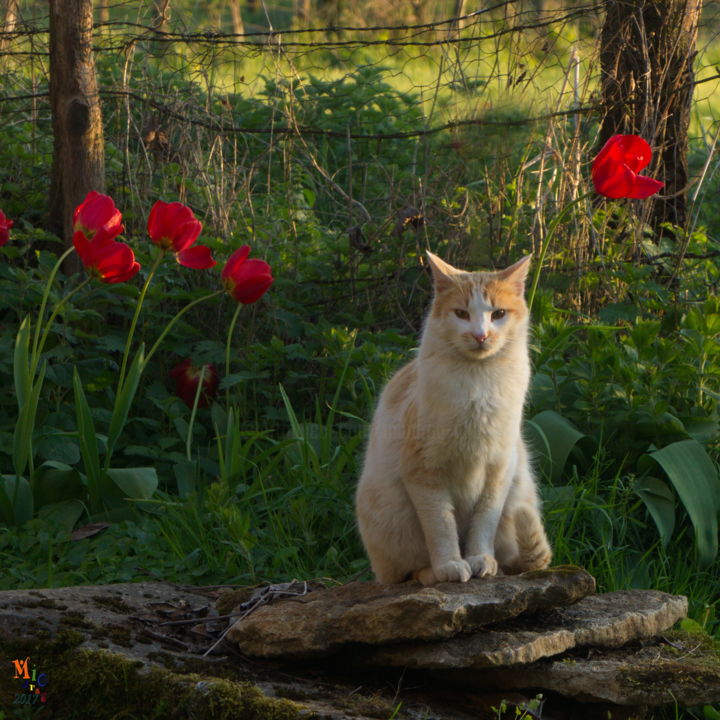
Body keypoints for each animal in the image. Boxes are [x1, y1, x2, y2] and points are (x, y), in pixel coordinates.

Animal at [358, 250, 556, 584]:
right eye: (461, 314)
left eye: (498, 313)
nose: (480, 335)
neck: (478, 381)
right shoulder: (424, 473)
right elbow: (440, 526)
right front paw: (450, 564)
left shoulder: (498, 471)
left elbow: (483, 522)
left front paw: (480, 559)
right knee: (404, 571)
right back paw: (429, 574)